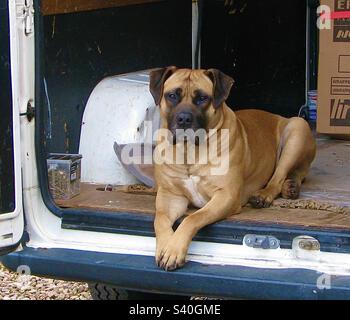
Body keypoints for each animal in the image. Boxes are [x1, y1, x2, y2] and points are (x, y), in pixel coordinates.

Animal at [149, 67, 316, 270]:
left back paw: (264, 195)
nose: (184, 119)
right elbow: (159, 219)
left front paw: (173, 249)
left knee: (279, 177)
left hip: (297, 129)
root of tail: (278, 115)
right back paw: (290, 186)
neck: (190, 151)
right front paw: (167, 246)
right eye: (172, 95)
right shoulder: (170, 196)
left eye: (202, 98)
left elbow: (193, 218)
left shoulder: (226, 196)